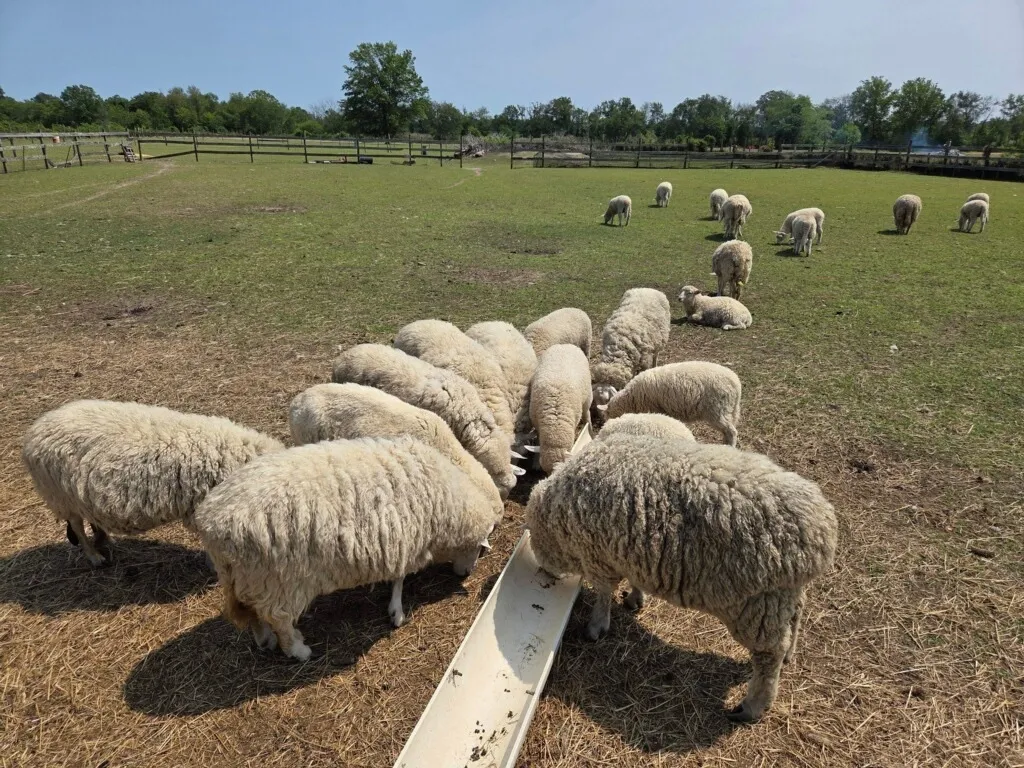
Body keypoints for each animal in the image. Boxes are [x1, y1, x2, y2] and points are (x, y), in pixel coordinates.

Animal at [21, 399, 283, 567]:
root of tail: (33, 432)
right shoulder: (202, 508)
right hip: (60, 496)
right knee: (77, 527)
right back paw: (95, 557)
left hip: (79, 494)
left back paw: (104, 538)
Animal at [195, 436, 503, 659]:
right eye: (477, 548)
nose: (467, 574)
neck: (444, 500)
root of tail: (211, 522)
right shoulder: (404, 540)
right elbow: (400, 579)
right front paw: (397, 612)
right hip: (276, 580)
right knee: (278, 618)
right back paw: (298, 649)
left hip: (248, 579)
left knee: (253, 613)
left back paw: (265, 640)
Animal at [524, 433, 838, 722]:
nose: (545, 572)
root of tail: (820, 531)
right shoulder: (630, 549)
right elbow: (633, 581)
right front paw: (636, 598)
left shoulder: (599, 558)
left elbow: (603, 594)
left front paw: (596, 627)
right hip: (784, 596)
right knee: (794, 620)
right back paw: (789, 656)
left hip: (758, 604)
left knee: (768, 656)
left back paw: (753, 705)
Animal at [601, 361, 742, 446]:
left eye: (608, 416)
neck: (631, 399)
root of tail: (736, 383)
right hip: (727, 410)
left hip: (717, 410)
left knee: (732, 432)